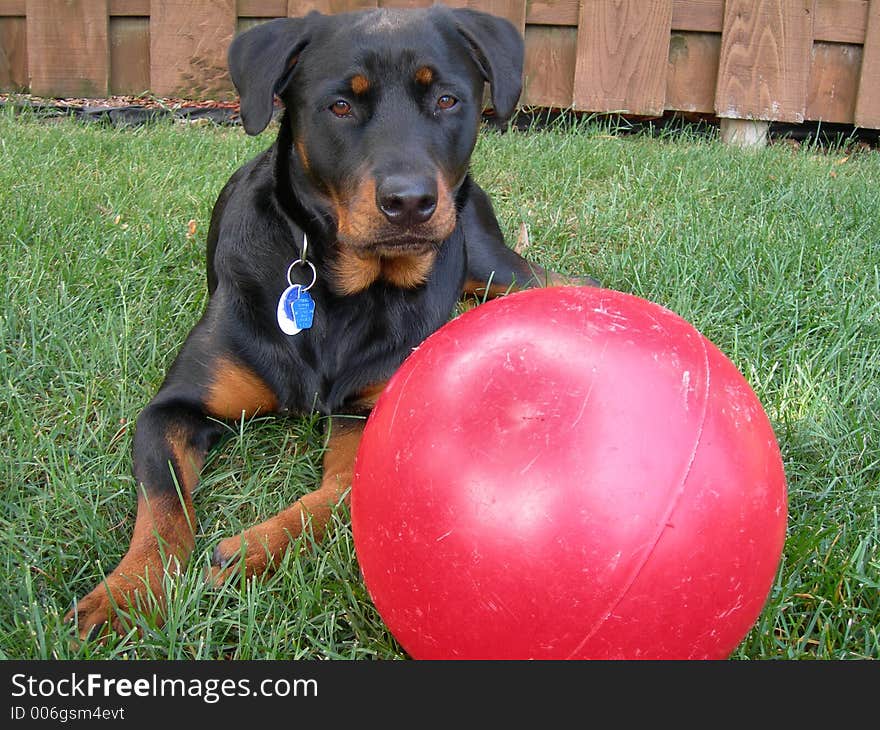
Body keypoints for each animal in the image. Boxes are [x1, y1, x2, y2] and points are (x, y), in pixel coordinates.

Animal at [67, 4, 592, 636]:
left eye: (446, 99)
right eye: (340, 105)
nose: (409, 202)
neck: (343, 291)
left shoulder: (370, 409)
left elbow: (341, 492)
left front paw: (255, 548)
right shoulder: (172, 409)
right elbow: (163, 506)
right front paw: (127, 594)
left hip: (493, 263)